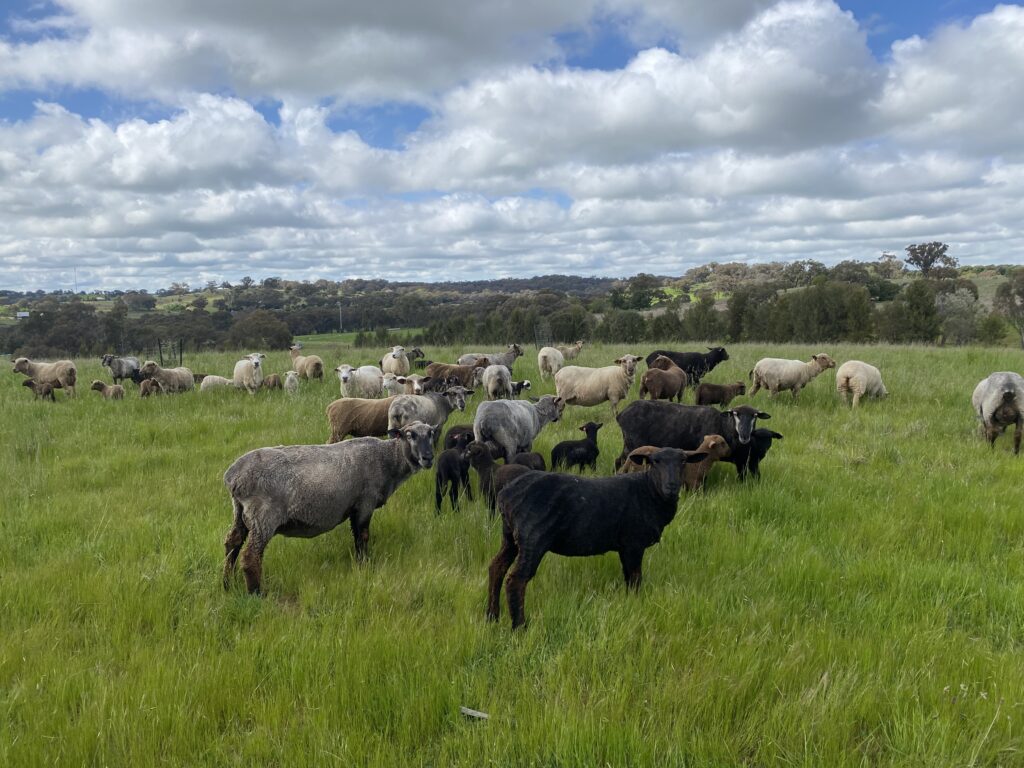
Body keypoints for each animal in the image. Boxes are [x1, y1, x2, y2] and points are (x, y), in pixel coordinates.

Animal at [222, 421, 438, 593]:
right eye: (410, 435)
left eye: (431, 434)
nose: (428, 458)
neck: (387, 459)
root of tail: (233, 477)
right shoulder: (365, 503)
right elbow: (362, 537)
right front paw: (365, 567)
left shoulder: (354, 508)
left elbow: (357, 537)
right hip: (264, 516)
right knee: (250, 557)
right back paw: (256, 593)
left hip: (240, 512)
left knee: (232, 543)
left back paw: (227, 585)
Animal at [485, 444, 708, 630]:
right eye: (655, 461)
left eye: (683, 461)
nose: (672, 486)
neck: (649, 491)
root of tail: (506, 495)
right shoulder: (633, 543)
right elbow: (636, 579)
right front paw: (636, 604)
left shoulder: (624, 546)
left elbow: (628, 578)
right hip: (533, 537)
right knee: (516, 580)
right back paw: (519, 627)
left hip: (510, 537)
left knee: (496, 567)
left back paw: (492, 616)